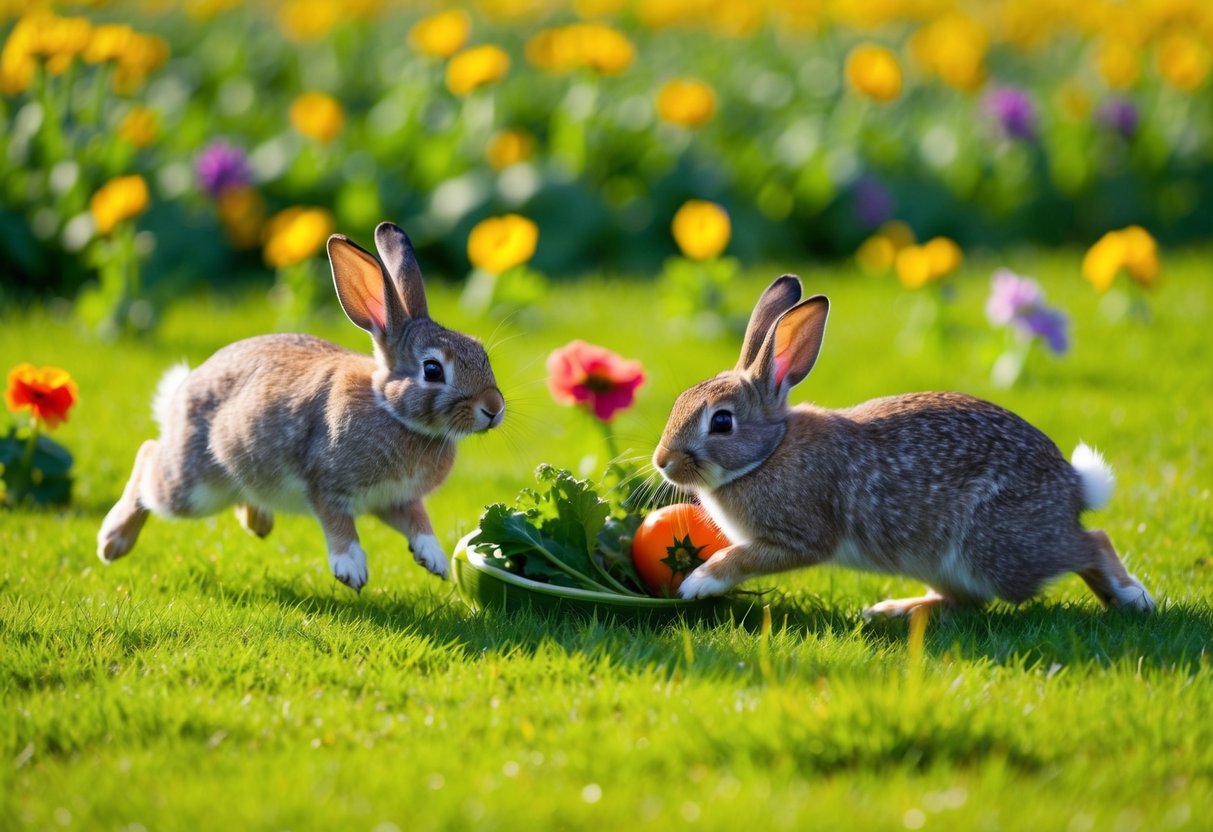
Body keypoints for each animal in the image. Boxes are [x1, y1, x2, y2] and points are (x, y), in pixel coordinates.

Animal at [97, 222, 505, 592]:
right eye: (432, 370)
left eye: (481, 353)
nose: (494, 408)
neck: (392, 411)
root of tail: (181, 392)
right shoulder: (325, 483)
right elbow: (339, 525)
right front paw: (350, 568)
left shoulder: (397, 499)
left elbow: (418, 521)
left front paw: (433, 558)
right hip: (192, 487)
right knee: (150, 460)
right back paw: (112, 542)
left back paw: (258, 521)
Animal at [653, 274, 1154, 616]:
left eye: (721, 422)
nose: (663, 462)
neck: (768, 454)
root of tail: (1074, 487)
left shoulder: (799, 538)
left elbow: (739, 556)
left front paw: (698, 582)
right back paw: (898, 610)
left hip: (997, 550)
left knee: (1089, 544)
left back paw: (1134, 597)